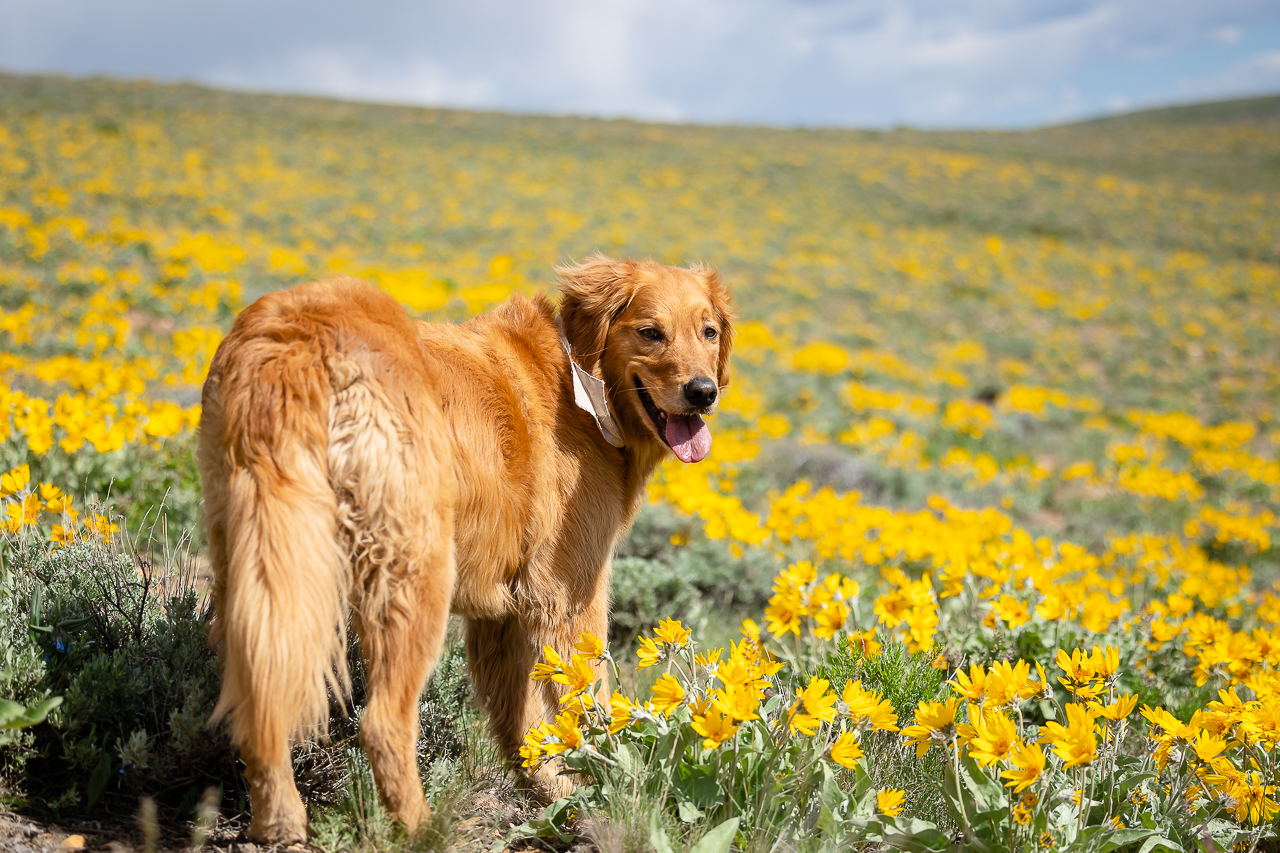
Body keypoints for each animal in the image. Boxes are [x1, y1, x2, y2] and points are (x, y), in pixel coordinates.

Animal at [193, 252, 727, 835]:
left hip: (253, 562)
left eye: (709, 332)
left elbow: (522, 723)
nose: (704, 391)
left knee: (260, 700)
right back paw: (423, 830)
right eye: (651, 333)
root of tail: (297, 338)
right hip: (415, 577)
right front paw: (610, 797)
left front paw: (554, 795)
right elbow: (589, 709)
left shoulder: (503, 614)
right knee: (382, 721)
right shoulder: (569, 597)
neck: (580, 382)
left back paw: (280, 824)